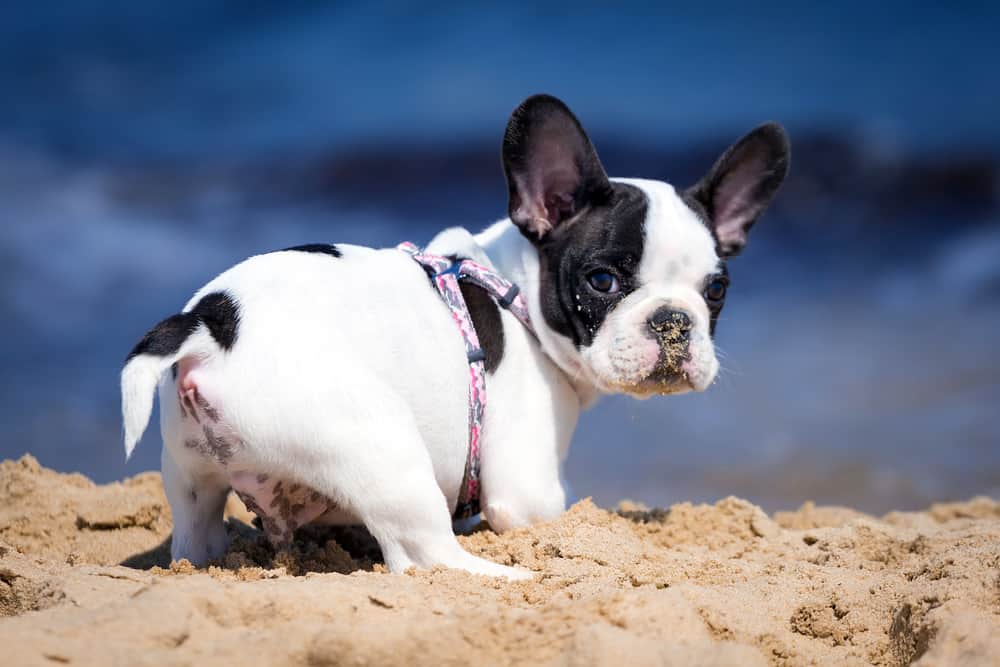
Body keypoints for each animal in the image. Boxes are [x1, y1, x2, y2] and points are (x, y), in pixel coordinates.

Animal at [119, 92, 788, 580]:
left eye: (716, 290)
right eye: (602, 280)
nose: (673, 320)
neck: (515, 289)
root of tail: (211, 325)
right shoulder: (527, 487)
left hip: (191, 479)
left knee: (197, 536)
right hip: (381, 447)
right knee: (426, 557)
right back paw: (510, 577)